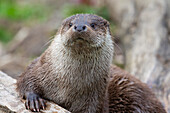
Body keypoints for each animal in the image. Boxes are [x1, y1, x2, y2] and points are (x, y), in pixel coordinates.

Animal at [16, 13, 166, 112]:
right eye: (70, 24)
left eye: (93, 25)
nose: (79, 27)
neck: (67, 85)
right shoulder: (40, 66)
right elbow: (25, 78)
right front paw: (34, 99)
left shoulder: (96, 98)